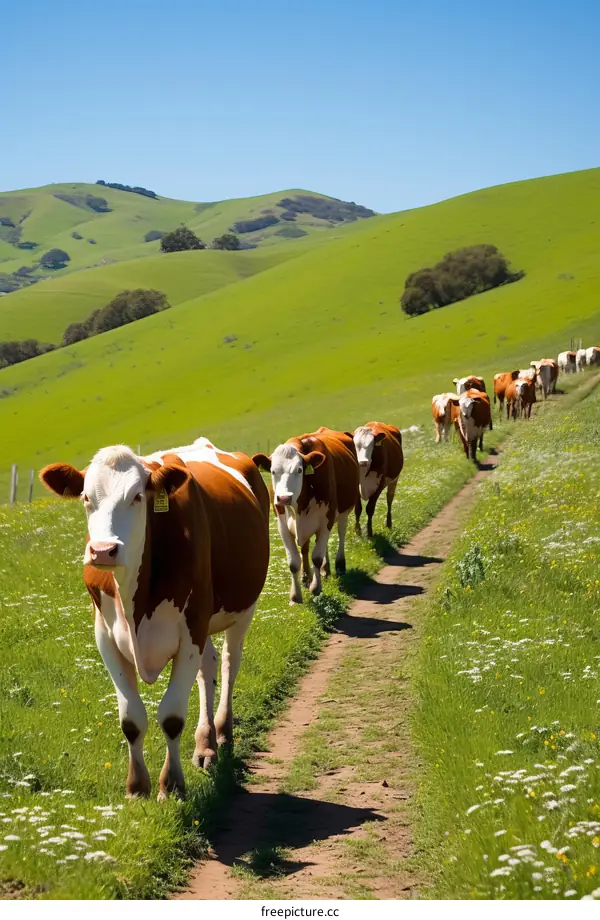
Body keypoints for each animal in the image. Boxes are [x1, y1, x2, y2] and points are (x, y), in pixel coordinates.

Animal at [40, 441, 270, 800]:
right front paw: (136, 787)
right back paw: (205, 745)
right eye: (86, 498)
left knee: (230, 663)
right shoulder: (105, 636)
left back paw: (221, 732)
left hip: (242, 609)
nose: (103, 550)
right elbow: (131, 719)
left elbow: (172, 716)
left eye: (137, 496)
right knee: (208, 667)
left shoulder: (191, 630)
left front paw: (171, 784)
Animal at [253, 427, 359, 605]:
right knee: (309, 546)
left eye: (299, 470)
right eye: (273, 471)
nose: (283, 498)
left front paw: (316, 588)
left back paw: (339, 565)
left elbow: (317, 557)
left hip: (343, 511)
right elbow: (294, 562)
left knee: (341, 533)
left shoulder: (326, 519)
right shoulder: (282, 525)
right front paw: (296, 595)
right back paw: (318, 572)